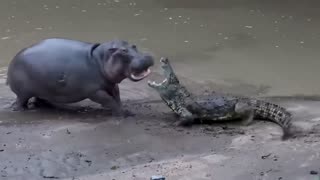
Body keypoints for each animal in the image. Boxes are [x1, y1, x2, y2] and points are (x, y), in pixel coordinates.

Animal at [5, 38, 154, 116]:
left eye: (134, 45)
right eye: (123, 51)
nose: (147, 57)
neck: (100, 59)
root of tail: (14, 59)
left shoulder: (111, 84)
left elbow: (117, 98)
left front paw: (126, 111)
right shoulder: (94, 91)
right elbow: (109, 100)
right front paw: (122, 114)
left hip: (43, 88)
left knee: (40, 99)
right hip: (24, 92)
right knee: (20, 101)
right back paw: (20, 110)